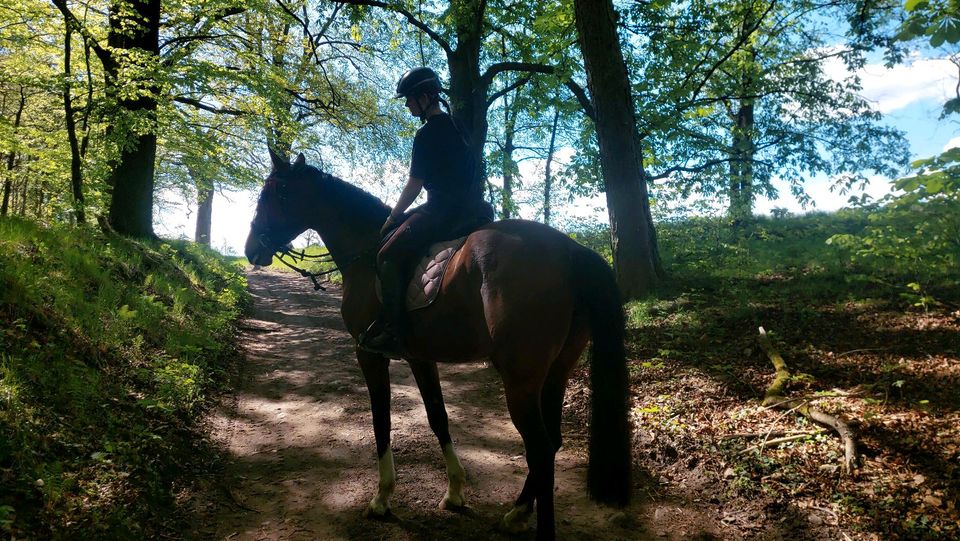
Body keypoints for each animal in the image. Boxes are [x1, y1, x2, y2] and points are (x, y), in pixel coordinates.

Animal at [246, 153, 632, 540]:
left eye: (272, 193)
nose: (251, 249)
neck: (366, 252)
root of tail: (570, 250)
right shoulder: (420, 357)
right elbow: (438, 417)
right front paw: (455, 492)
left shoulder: (368, 354)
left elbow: (381, 419)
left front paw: (382, 498)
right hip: (556, 373)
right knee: (552, 442)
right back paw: (518, 512)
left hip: (520, 380)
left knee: (540, 449)